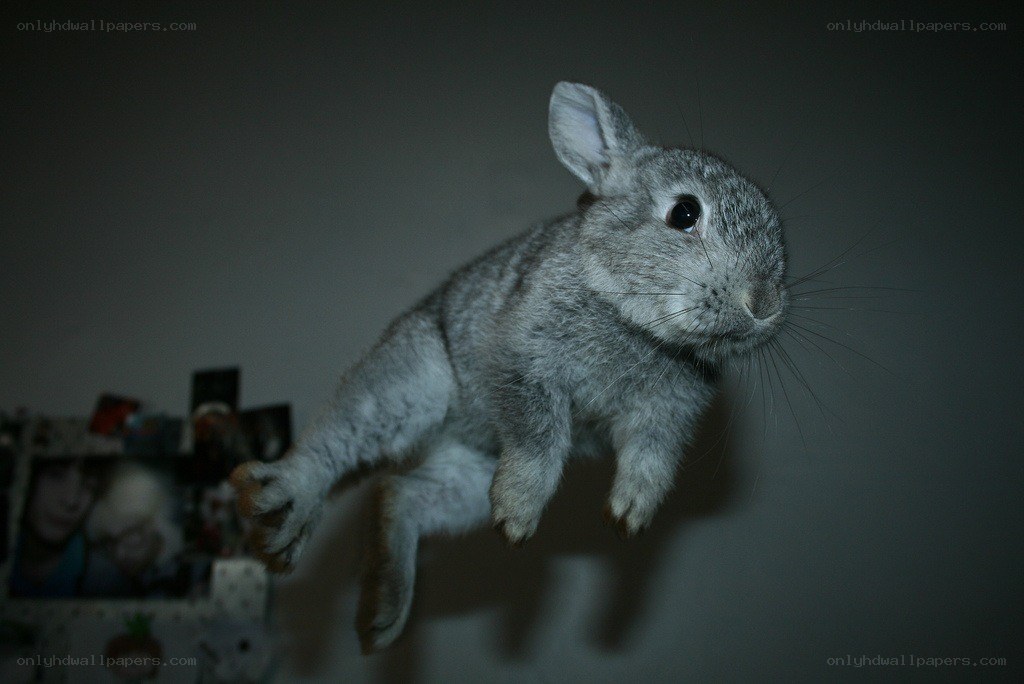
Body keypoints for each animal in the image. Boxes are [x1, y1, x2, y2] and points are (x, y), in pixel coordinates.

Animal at [229, 81, 788, 653]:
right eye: (684, 213)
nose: (765, 304)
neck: (638, 324)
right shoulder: (523, 361)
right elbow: (539, 437)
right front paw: (519, 518)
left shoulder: (665, 416)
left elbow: (650, 460)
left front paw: (629, 516)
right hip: (410, 388)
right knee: (331, 448)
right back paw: (282, 505)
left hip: (470, 482)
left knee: (396, 495)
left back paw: (384, 615)